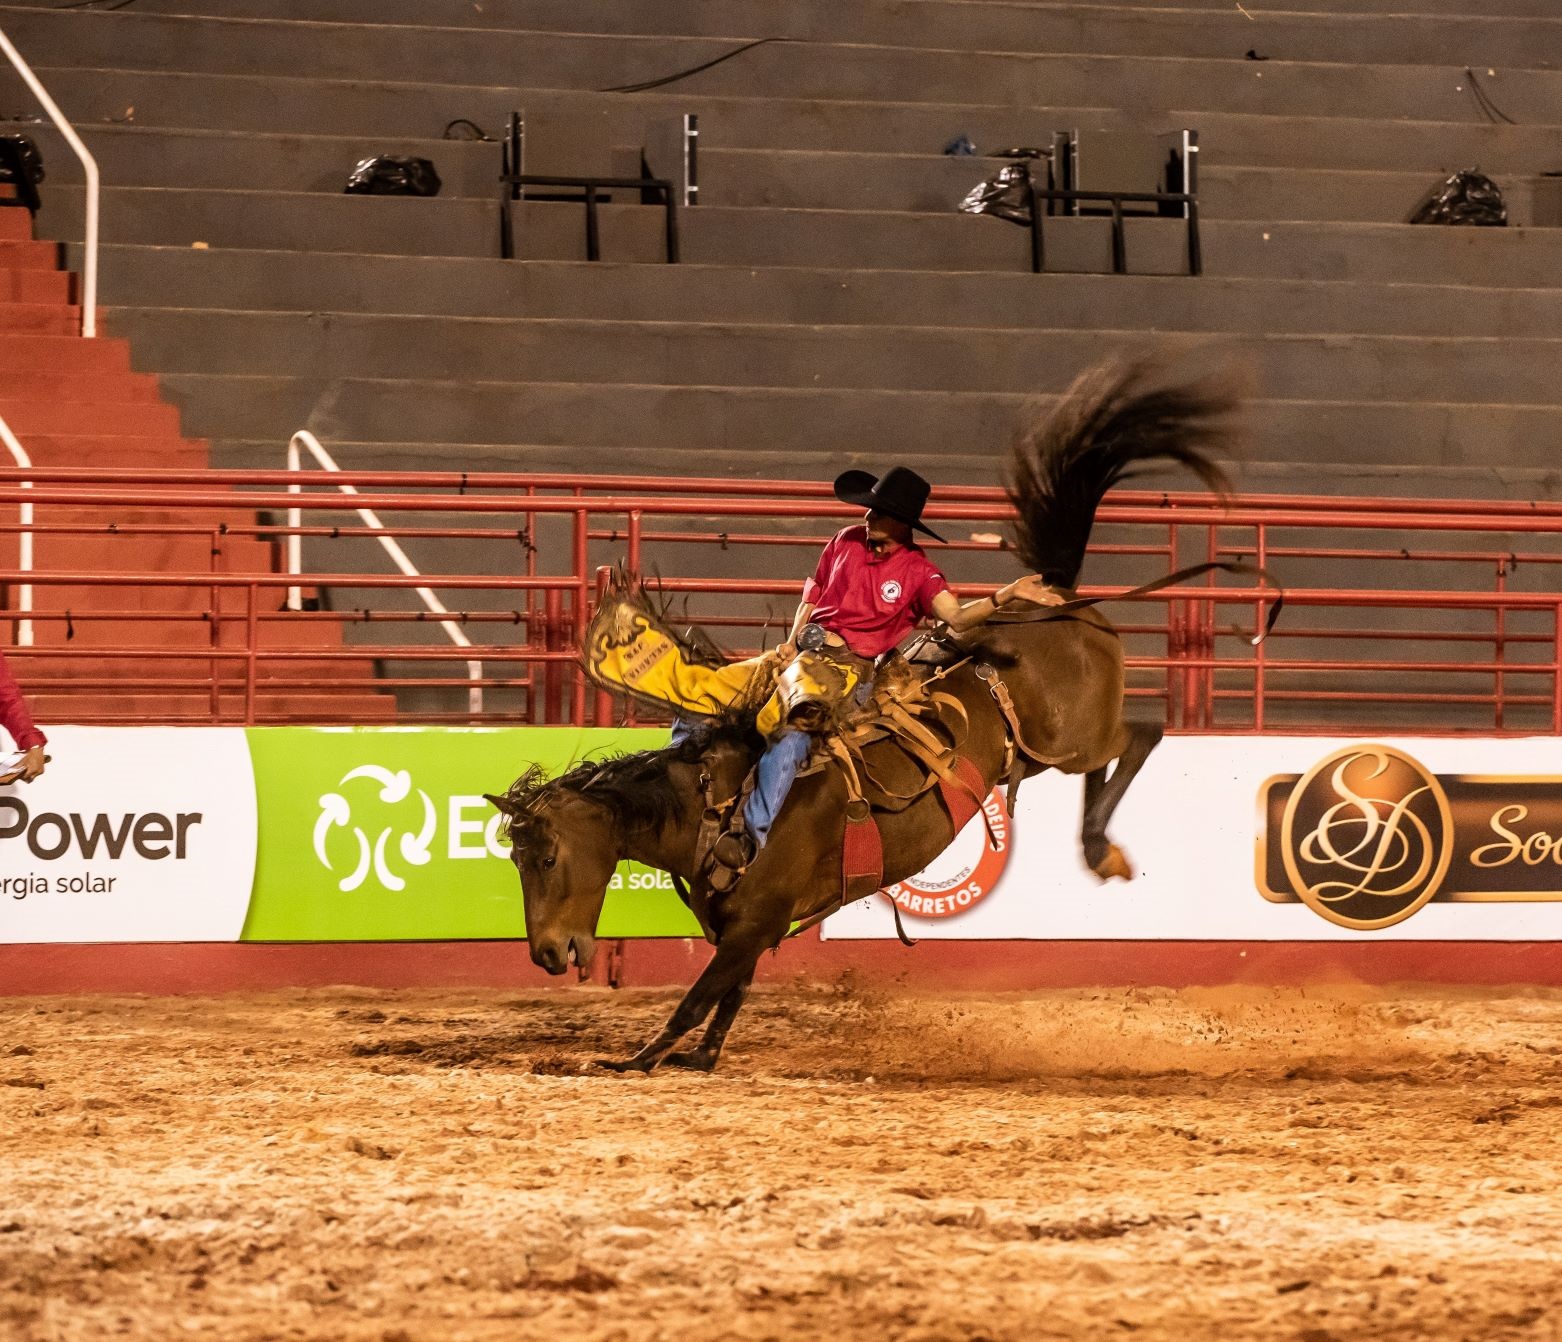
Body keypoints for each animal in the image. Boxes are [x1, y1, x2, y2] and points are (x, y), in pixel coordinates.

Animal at [487, 356, 1243, 1068]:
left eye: (546, 856)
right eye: (515, 859)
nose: (547, 954)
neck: (708, 803)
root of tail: (1056, 597)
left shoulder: (754, 924)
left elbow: (697, 1000)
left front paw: (636, 1060)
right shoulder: (747, 931)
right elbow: (727, 1000)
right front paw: (698, 1059)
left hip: (1076, 735)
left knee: (1143, 733)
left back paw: (1099, 844)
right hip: (1042, 752)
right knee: (1108, 760)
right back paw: (1097, 846)